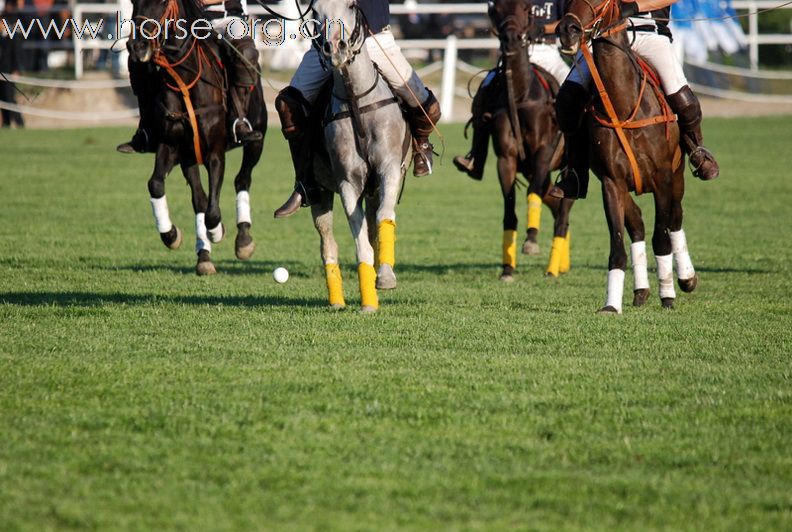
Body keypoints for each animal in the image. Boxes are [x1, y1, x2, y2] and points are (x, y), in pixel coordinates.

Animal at [127, 0, 266, 274]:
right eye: (133, 2)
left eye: (162, 2)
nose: (137, 47)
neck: (184, 78)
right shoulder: (174, 147)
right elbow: (157, 185)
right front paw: (171, 235)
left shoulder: (215, 153)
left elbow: (213, 211)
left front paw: (217, 231)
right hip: (190, 158)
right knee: (200, 199)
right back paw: (204, 256)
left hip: (257, 139)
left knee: (242, 179)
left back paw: (243, 239)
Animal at [308, 0, 412, 312]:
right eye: (314, 11)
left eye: (352, 5)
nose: (335, 48)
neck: (355, 100)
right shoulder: (347, 181)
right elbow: (358, 237)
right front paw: (368, 301)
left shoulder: (389, 169)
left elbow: (384, 218)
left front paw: (385, 277)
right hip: (319, 190)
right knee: (327, 242)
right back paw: (336, 301)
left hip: (374, 187)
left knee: (375, 223)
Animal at [486, 0, 572, 282]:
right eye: (495, 8)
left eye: (526, 8)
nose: (511, 39)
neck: (522, 95)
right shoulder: (506, 159)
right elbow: (509, 210)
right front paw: (507, 269)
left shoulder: (544, 152)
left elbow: (531, 193)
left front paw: (531, 241)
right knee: (554, 203)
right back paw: (561, 263)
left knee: (562, 214)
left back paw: (553, 269)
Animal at [556, 0, 700, 312]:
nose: (568, 30)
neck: (623, 102)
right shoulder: (612, 183)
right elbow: (618, 244)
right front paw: (611, 305)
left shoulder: (662, 178)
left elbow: (662, 237)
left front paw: (668, 296)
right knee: (637, 225)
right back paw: (641, 291)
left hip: (678, 175)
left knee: (675, 219)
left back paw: (686, 279)